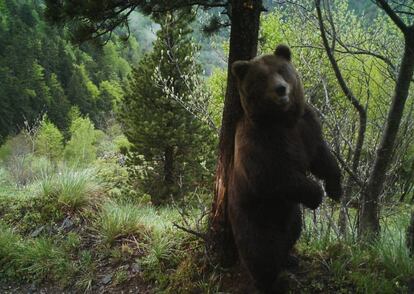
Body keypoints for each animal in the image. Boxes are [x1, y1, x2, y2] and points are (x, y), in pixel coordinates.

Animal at [228, 44, 342, 292]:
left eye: (281, 70)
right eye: (262, 77)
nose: (281, 89)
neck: (281, 119)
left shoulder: (306, 125)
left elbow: (321, 156)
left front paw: (335, 189)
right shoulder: (259, 142)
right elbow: (273, 176)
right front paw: (316, 195)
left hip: (291, 215)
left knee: (292, 233)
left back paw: (289, 258)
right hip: (253, 218)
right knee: (260, 254)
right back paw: (269, 281)